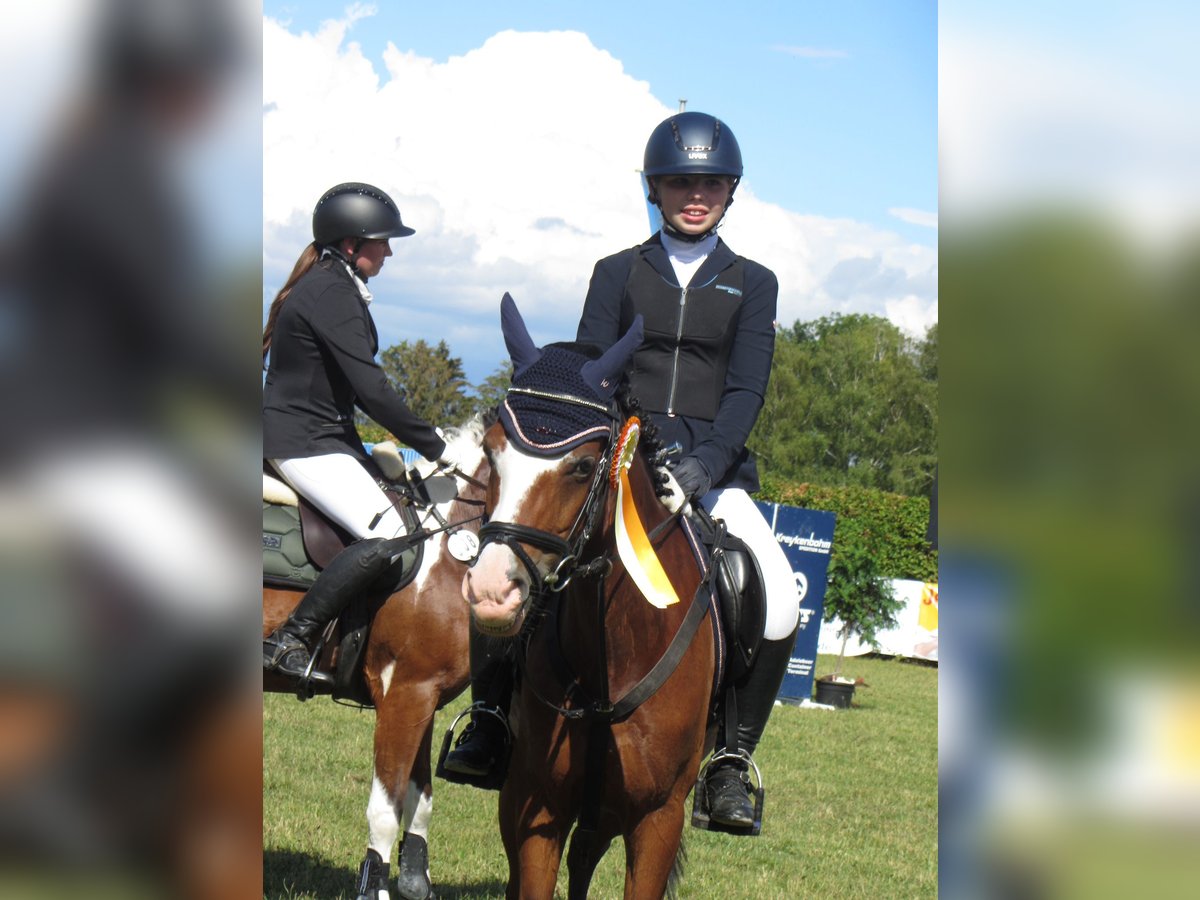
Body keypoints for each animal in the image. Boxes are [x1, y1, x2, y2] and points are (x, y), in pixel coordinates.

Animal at [262, 422, 487, 900]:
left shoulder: (424, 696)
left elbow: (420, 799)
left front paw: (415, 881)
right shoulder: (405, 693)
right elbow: (386, 806)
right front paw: (375, 887)